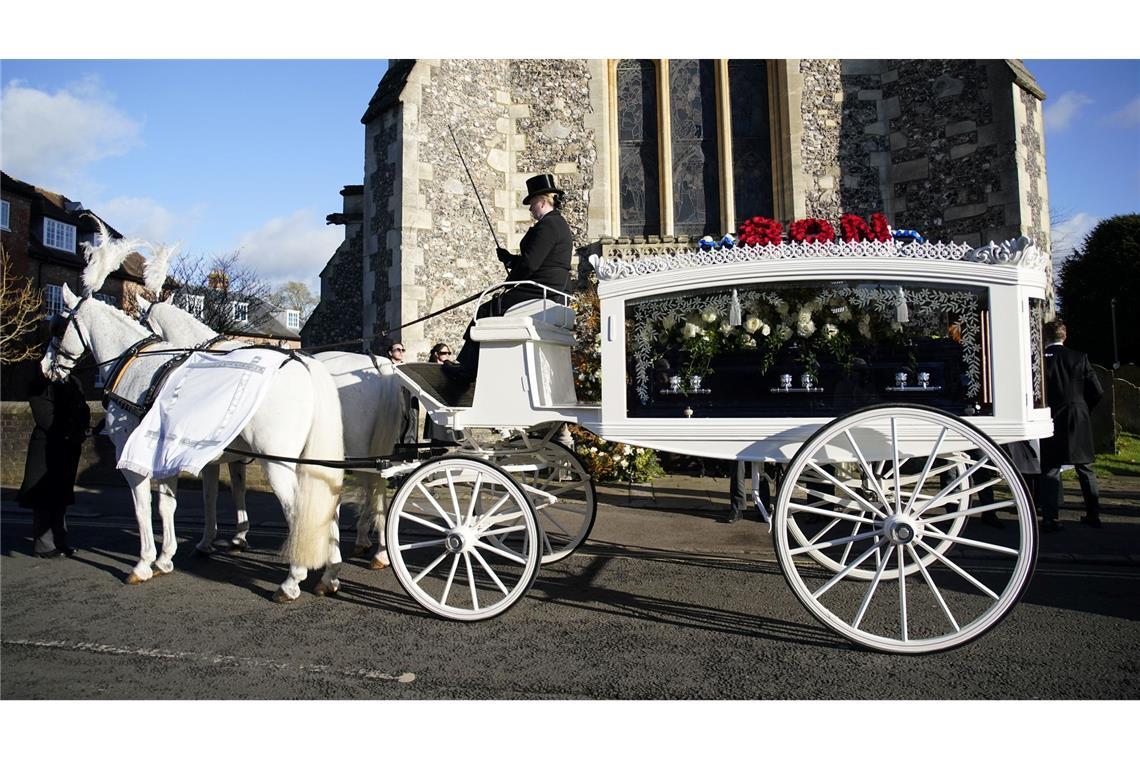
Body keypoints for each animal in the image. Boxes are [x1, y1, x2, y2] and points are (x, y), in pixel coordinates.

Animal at [43, 282, 342, 601]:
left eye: (58, 326)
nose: (45, 367)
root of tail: (304, 365)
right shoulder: (181, 455)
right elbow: (177, 503)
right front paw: (170, 556)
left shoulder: (133, 456)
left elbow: (143, 507)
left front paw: (144, 563)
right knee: (327, 505)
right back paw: (330, 574)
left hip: (277, 462)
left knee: (299, 511)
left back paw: (292, 579)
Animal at [136, 293, 403, 567]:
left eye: (142, 321)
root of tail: (377, 362)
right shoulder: (232, 454)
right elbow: (236, 489)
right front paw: (238, 536)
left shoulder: (211, 456)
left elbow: (211, 495)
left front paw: (210, 540)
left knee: (369, 486)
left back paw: (371, 546)